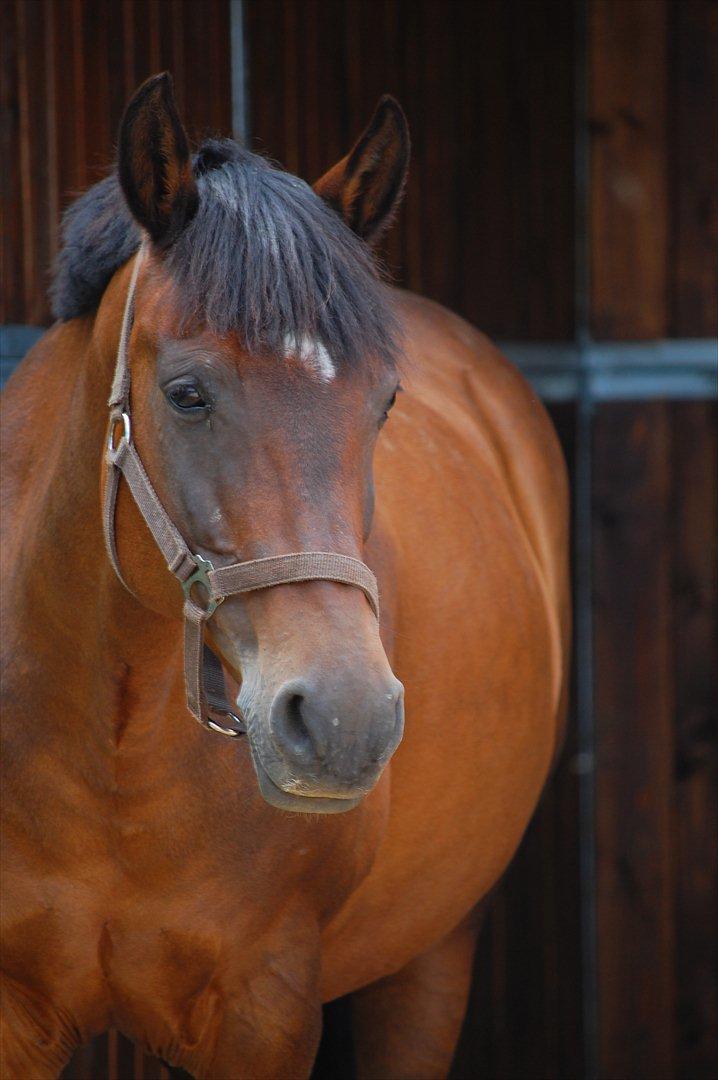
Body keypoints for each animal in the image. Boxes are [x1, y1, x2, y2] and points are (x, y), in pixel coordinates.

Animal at [0, 73, 569, 1079]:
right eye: (186, 394)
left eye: (385, 402)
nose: (346, 719)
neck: (105, 755)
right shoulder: (13, 1013)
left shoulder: (264, 1013)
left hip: (433, 955)